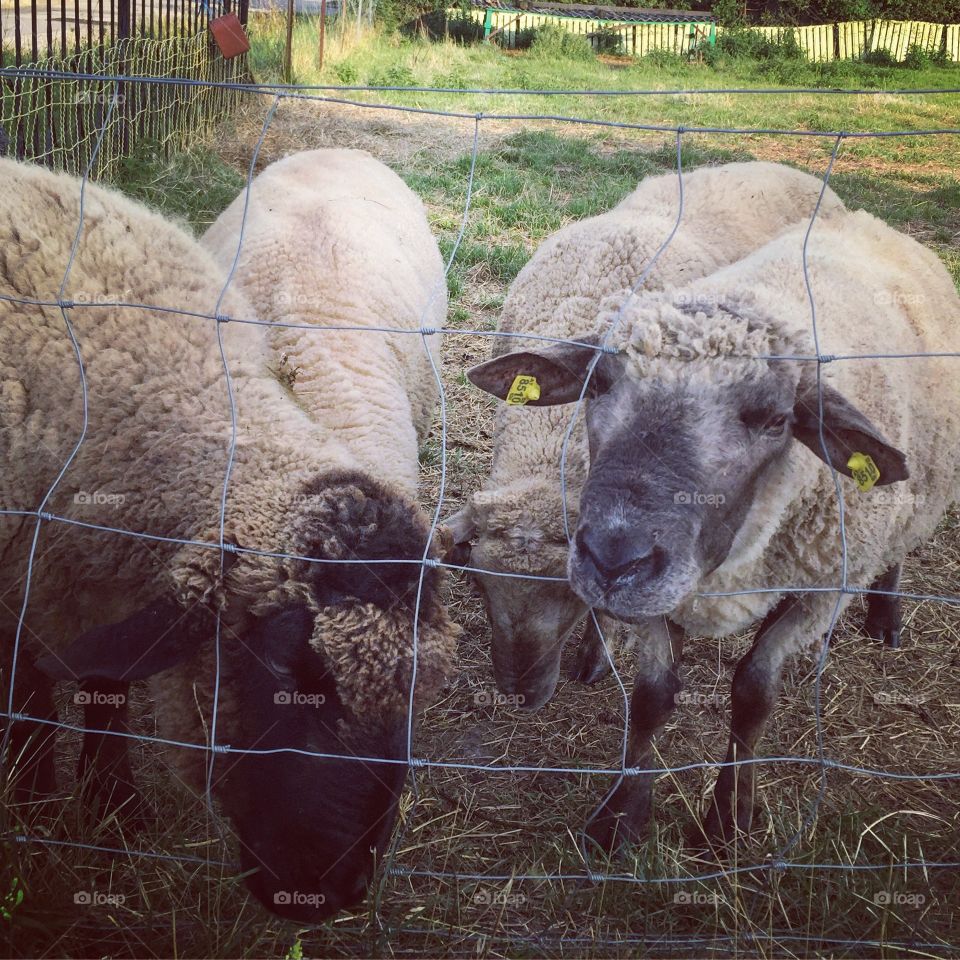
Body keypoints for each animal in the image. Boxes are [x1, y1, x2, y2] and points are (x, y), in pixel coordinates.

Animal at [0, 156, 458, 921]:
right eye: (285, 674)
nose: (335, 892)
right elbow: (30, 705)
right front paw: (34, 810)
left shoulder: (88, 576)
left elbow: (104, 688)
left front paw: (113, 810)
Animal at [467, 205, 960, 851]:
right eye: (598, 384)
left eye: (776, 420)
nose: (611, 559)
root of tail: (867, 220)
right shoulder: (661, 595)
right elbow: (651, 699)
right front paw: (621, 818)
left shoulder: (815, 587)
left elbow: (753, 695)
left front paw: (728, 818)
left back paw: (882, 618)